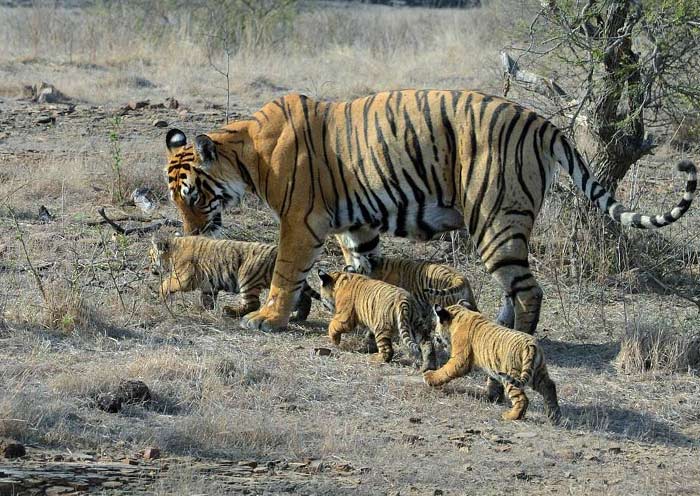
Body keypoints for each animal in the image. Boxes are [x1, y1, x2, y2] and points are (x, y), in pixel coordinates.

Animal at [149, 235, 318, 320]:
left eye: (150, 256)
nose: (149, 269)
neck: (172, 249)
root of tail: (277, 253)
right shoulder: (208, 284)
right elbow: (207, 298)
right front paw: (204, 309)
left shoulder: (185, 278)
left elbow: (167, 282)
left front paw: (161, 293)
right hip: (285, 282)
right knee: (302, 298)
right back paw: (299, 316)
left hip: (247, 277)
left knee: (253, 304)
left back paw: (229, 311)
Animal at [423, 302, 560, 423]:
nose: (434, 337)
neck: (460, 315)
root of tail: (531, 345)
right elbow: (493, 382)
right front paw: (492, 397)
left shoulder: (460, 359)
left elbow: (445, 370)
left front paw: (429, 377)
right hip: (537, 374)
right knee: (550, 386)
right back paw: (554, 416)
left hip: (511, 374)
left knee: (522, 398)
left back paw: (511, 416)